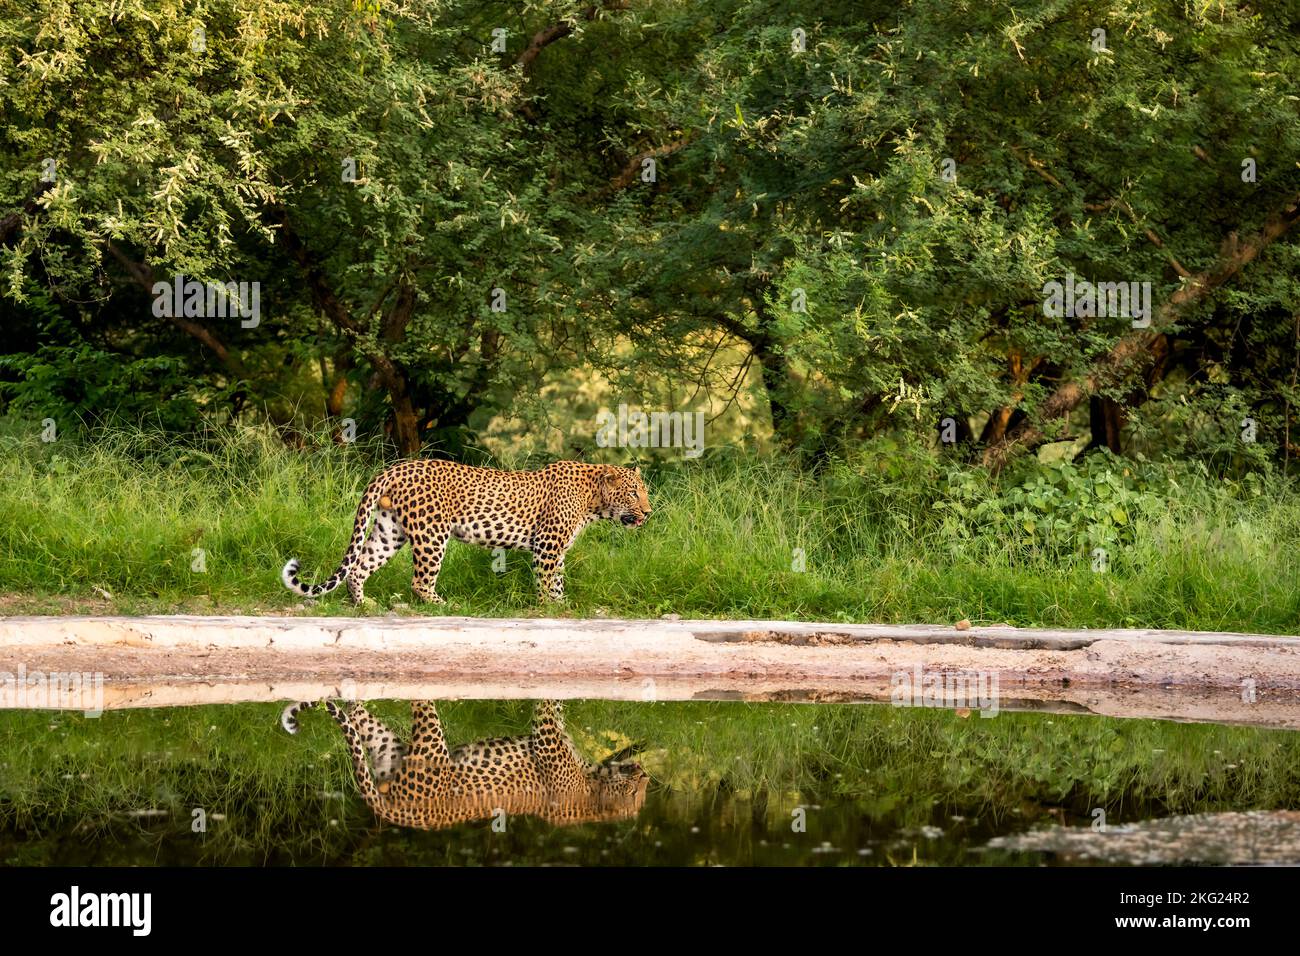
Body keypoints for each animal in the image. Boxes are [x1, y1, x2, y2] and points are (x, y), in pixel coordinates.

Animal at [282, 457, 650, 606]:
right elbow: (547, 581)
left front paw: (562, 604)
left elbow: (557, 580)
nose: (648, 512)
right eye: (633, 493)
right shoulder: (547, 545)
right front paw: (550, 607)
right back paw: (443, 604)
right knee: (419, 580)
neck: (594, 501)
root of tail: (395, 468)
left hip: (389, 530)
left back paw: (364, 603)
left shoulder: (556, 550)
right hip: (431, 532)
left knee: (359, 566)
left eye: (643, 492)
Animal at [284, 697, 650, 832]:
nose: (645, 774)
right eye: (634, 793)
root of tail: (399, 815)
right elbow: (551, 707)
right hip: (431, 743)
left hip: (389, 748)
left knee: (361, 716)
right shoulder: (547, 737)